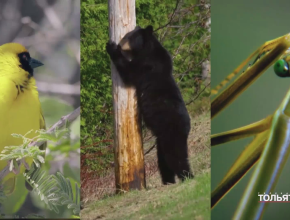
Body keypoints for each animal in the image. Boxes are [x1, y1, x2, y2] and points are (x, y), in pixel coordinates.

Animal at [105, 25, 194, 184]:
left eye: (128, 36)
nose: (120, 43)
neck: (147, 48)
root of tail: (187, 128)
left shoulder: (145, 65)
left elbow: (128, 72)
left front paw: (111, 47)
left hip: (170, 132)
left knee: (175, 156)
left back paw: (186, 176)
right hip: (162, 139)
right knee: (163, 160)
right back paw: (168, 180)